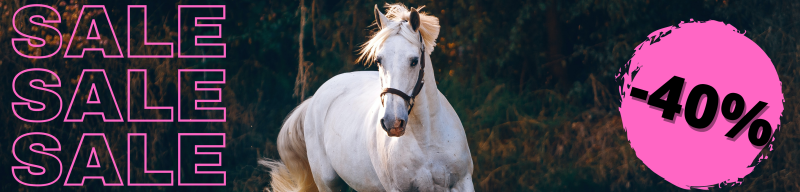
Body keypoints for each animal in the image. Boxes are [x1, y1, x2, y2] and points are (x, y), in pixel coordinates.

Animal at [262, 4, 476, 192]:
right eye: (379, 60)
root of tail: (315, 98)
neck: (426, 141)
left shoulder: (463, 183)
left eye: (414, 61)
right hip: (328, 183)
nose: (392, 122)